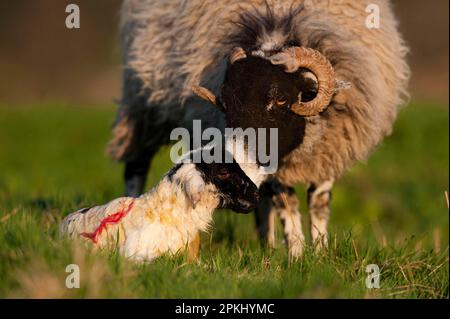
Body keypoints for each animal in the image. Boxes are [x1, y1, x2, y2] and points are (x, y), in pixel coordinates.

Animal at [107, 0, 410, 258]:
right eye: (227, 100)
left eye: (281, 99)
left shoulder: (330, 146)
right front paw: (297, 255)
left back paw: (268, 244)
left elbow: (318, 202)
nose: (238, 147)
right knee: (136, 164)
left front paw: (320, 252)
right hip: (142, 101)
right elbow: (286, 202)